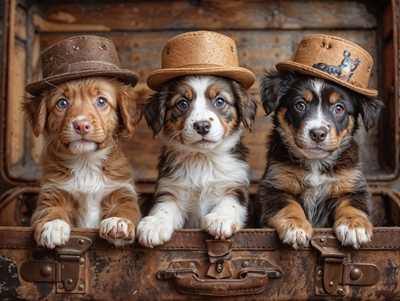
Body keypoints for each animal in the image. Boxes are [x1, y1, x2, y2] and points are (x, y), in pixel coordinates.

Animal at [21, 35, 144, 246]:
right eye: (62, 103)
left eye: (101, 101)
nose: (81, 125)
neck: (86, 163)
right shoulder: (50, 193)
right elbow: (50, 210)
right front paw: (52, 226)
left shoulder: (123, 192)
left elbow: (126, 209)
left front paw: (118, 222)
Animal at [137, 29, 256, 246]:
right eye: (182, 103)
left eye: (220, 101)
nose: (202, 126)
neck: (203, 160)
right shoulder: (170, 189)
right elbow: (164, 207)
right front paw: (154, 225)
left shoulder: (236, 187)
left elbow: (229, 203)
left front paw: (220, 219)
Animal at [256, 33, 384, 248]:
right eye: (300, 105)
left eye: (339, 108)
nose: (317, 133)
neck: (315, 164)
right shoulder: (274, 186)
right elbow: (288, 205)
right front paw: (296, 227)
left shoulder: (353, 187)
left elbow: (353, 206)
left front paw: (354, 227)